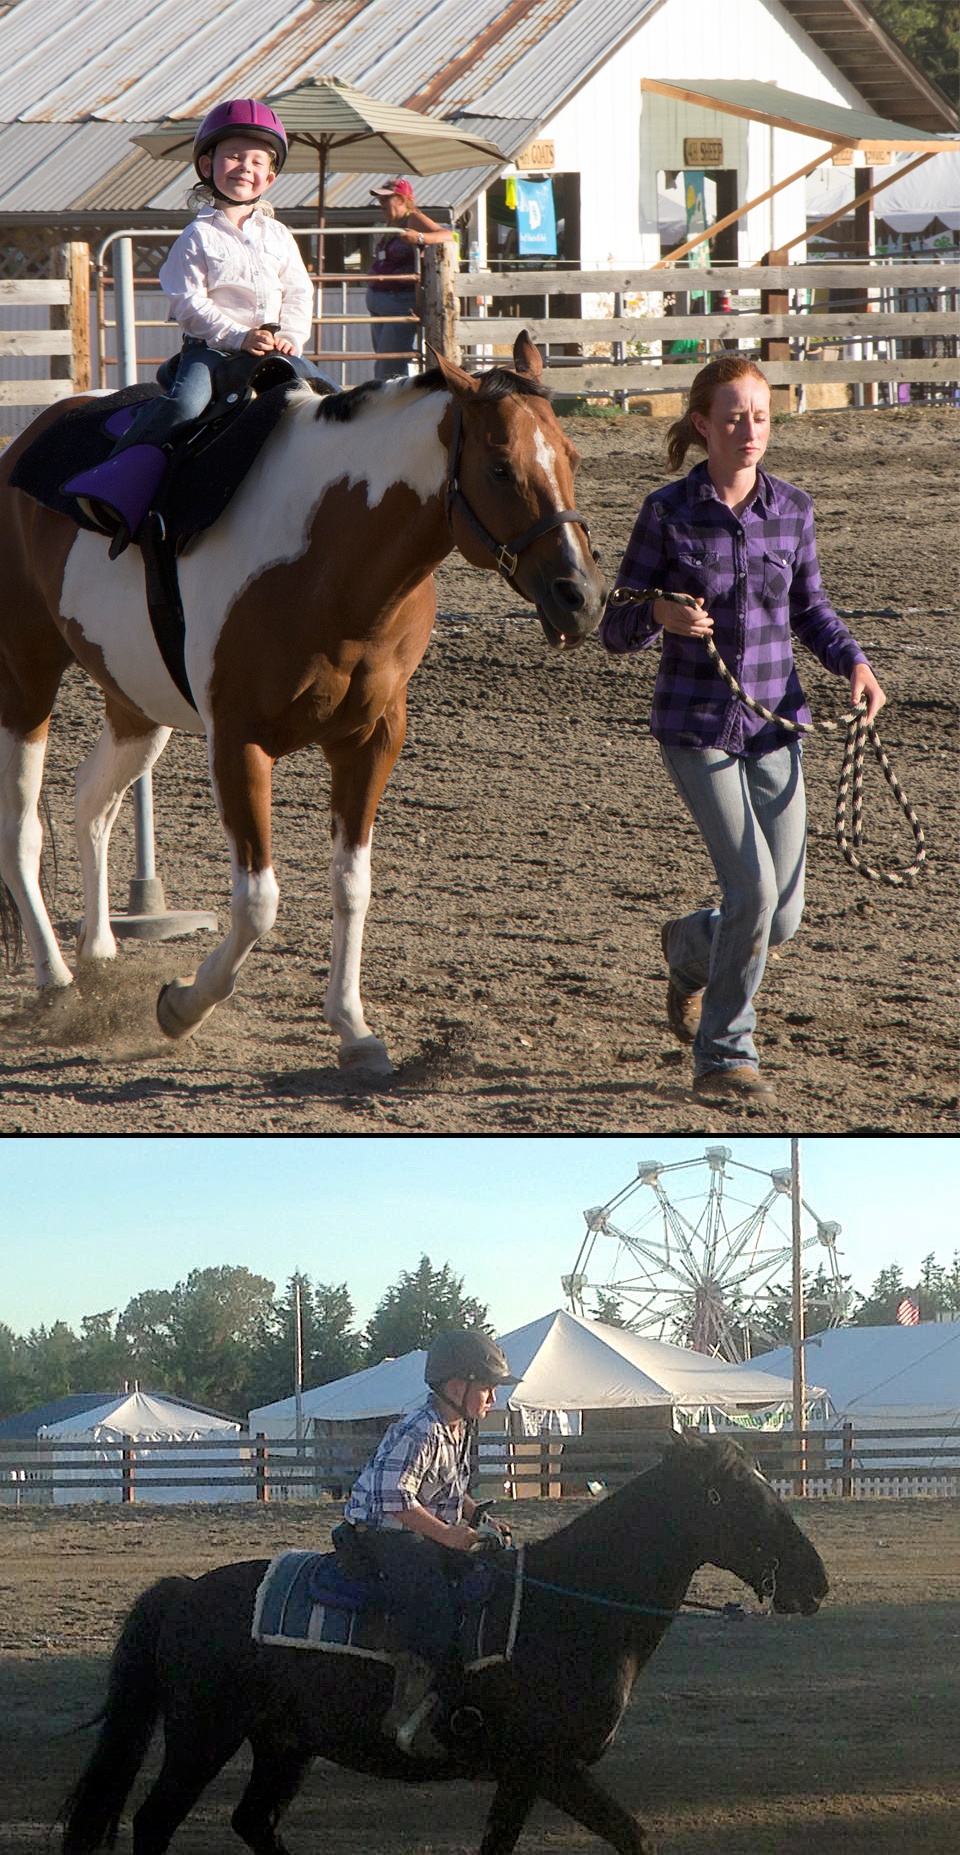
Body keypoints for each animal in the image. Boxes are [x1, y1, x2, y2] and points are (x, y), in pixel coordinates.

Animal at [0, 333, 600, 1075]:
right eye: (499, 466)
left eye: (572, 457)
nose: (582, 597)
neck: (328, 559)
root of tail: (24, 444)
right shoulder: (237, 743)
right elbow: (258, 901)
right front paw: (182, 1005)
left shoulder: (370, 740)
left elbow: (351, 884)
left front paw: (353, 1027)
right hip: (25, 676)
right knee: (23, 829)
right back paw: (55, 979)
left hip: (136, 700)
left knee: (92, 803)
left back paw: (99, 956)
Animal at [60, 1439, 830, 1855]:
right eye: (742, 1498)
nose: (816, 1581)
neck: (571, 1607)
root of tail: (185, 1590)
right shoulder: (548, 1766)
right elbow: (633, 1836)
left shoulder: (521, 1776)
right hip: (202, 1736)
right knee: (154, 1821)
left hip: (284, 1743)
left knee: (255, 1820)